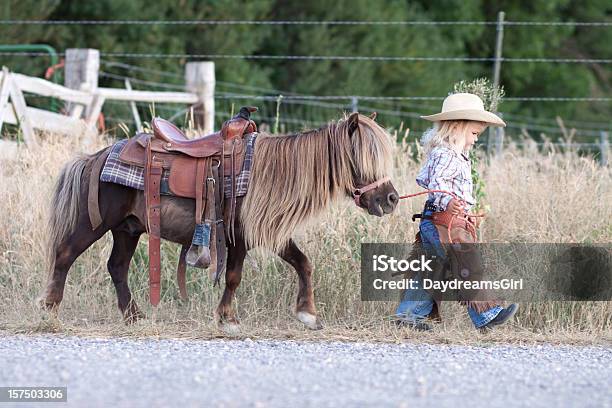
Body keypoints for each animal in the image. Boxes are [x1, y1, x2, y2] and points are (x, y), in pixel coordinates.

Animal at [40, 111, 400, 332]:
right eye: (362, 159)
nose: (391, 199)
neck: (268, 173)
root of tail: (99, 156)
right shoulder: (238, 237)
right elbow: (234, 277)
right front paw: (228, 318)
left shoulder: (269, 233)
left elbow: (304, 263)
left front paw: (308, 314)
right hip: (95, 223)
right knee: (65, 255)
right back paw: (50, 308)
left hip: (128, 229)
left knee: (116, 267)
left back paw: (135, 316)